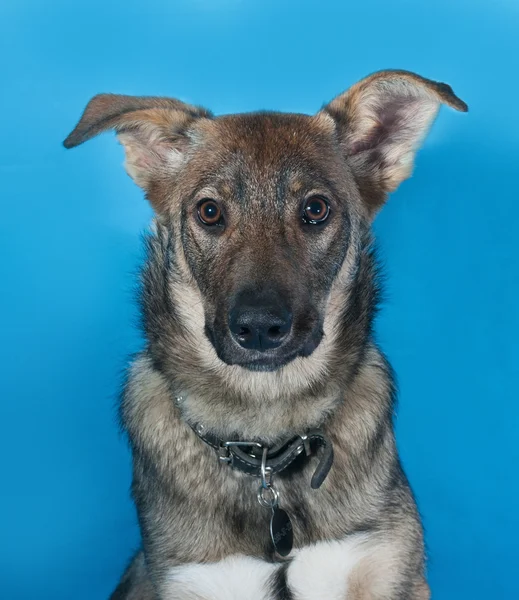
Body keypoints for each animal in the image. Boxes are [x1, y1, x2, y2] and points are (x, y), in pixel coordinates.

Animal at [64, 71, 468, 600]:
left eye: (315, 208)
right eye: (209, 211)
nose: (259, 327)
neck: (266, 446)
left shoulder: (389, 568)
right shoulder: (190, 579)